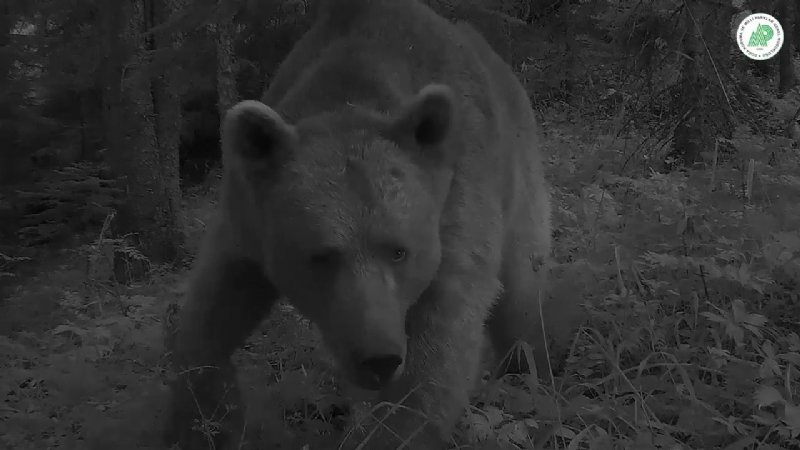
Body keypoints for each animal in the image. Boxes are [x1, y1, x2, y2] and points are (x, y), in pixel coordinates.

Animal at [162, 0, 564, 448]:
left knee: (521, 287)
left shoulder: (454, 208)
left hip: (517, 170)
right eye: (322, 255)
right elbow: (210, 316)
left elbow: (436, 354)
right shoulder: (247, 217)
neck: (351, 95)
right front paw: (199, 420)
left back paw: (530, 374)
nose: (379, 357)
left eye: (399, 250)